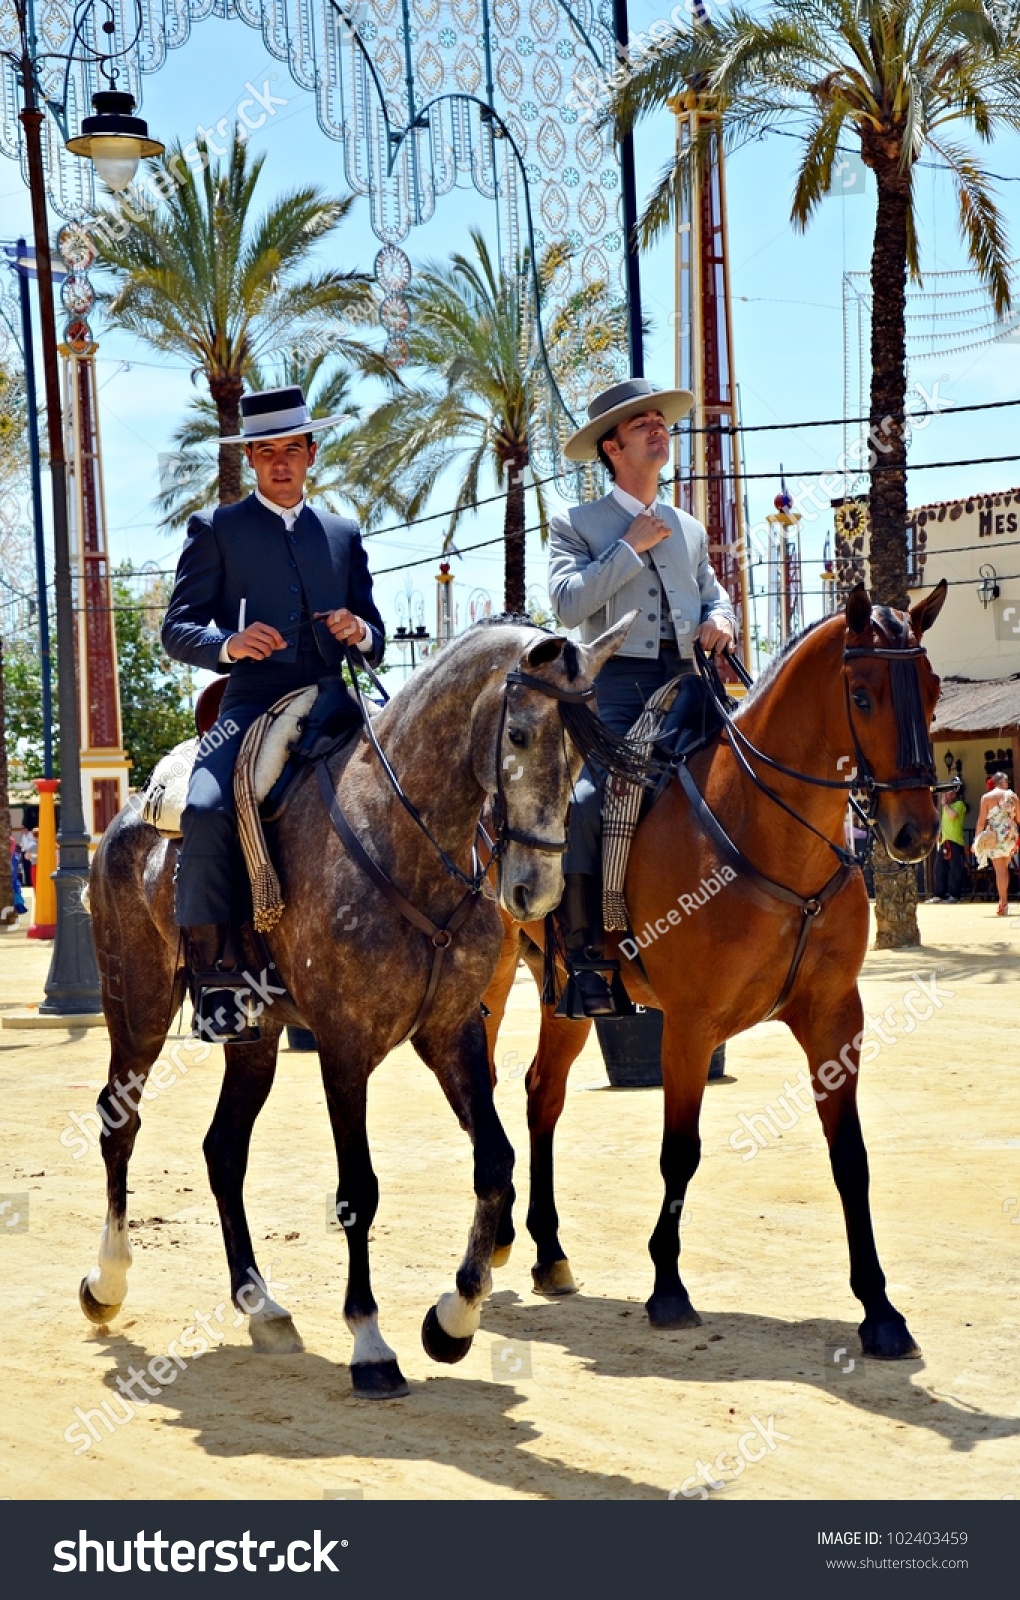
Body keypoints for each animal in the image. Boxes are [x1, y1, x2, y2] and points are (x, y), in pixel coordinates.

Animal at [77, 617, 633, 1395]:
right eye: (520, 735)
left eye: (582, 749)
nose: (537, 890)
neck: (405, 839)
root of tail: (124, 817)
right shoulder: (344, 1046)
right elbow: (358, 1192)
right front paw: (370, 1342)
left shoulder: (451, 1032)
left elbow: (495, 1160)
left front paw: (453, 1319)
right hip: (139, 1007)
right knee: (118, 1122)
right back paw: (108, 1281)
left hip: (254, 1038)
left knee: (223, 1150)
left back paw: (262, 1306)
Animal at [482, 582, 946, 1356]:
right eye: (863, 694)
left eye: (934, 690)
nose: (914, 831)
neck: (768, 830)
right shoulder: (690, 1026)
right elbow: (680, 1153)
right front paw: (668, 1289)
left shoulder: (833, 1019)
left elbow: (849, 1157)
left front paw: (880, 1310)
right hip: (480, 983)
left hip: (564, 997)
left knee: (542, 1093)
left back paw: (549, 1252)